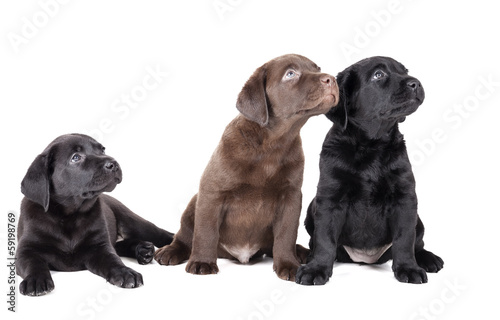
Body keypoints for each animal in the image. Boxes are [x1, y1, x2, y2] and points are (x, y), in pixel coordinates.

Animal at [17, 133, 174, 296]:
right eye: (76, 157)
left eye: (102, 150)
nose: (114, 163)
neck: (69, 216)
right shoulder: (26, 250)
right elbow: (33, 263)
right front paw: (35, 280)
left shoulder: (99, 246)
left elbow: (113, 260)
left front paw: (125, 272)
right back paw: (143, 250)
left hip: (133, 222)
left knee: (159, 234)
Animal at [154, 54, 338, 280]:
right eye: (290, 74)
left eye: (317, 68)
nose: (331, 79)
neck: (273, 145)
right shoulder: (212, 193)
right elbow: (206, 232)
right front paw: (202, 262)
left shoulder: (291, 196)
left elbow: (286, 234)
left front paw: (288, 264)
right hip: (192, 205)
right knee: (185, 235)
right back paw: (171, 251)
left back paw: (302, 252)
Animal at [294, 57, 444, 284]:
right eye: (378, 75)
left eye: (405, 71)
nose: (416, 83)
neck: (371, 146)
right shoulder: (330, 197)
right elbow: (325, 239)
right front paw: (316, 269)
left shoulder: (404, 198)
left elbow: (404, 239)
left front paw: (408, 268)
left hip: (418, 219)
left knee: (417, 243)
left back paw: (428, 259)